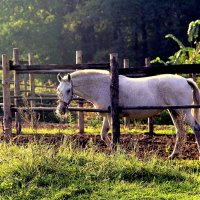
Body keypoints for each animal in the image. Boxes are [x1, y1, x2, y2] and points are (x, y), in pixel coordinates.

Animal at [55, 69, 200, 159]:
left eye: (68, 90)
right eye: (58, 90)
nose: (61, 110)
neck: (102, 86)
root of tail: (185, 80)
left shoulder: (110, 115)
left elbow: (112, 133)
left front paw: (118, 150)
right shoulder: (107, 115)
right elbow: (103, 134)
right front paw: (116, 151)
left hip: (184, 111)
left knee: (196, 127)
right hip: (174, 111)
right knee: (180, 132)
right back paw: (173, 155)